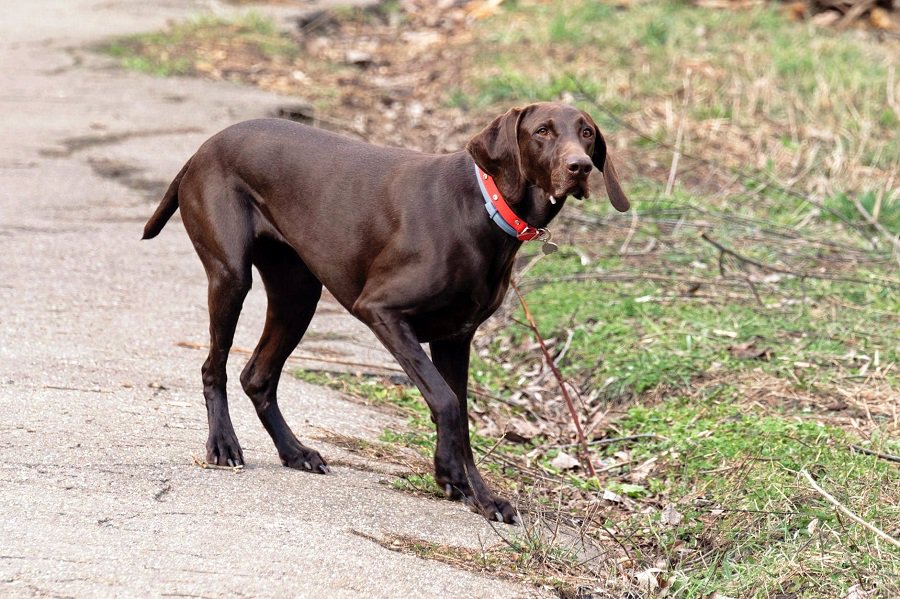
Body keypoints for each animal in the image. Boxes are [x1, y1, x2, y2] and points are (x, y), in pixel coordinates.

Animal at [144, 102, 628, 520]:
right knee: (214, 367)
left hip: (298, 293)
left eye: (587, 133)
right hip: (232, 278)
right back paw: (223, 445)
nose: (580, 167)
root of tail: (204, 147)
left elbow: (462, 418)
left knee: (257, 376)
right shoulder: (382, 311)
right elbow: (446, 402)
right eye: (542, 131)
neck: (485, 208)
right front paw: (449, 476)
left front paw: (481, 495)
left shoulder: (455, 339)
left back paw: (295, 452)